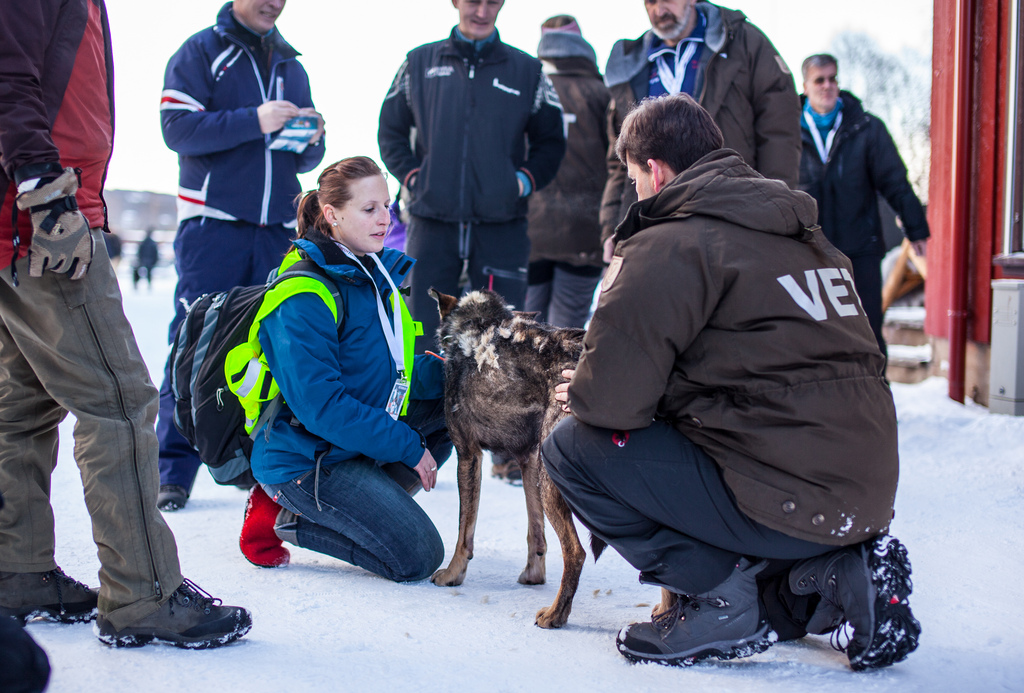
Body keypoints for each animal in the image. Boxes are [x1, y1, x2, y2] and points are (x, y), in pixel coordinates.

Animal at [428, 286, 593, 626]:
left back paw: (555, 615)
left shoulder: (468, 454)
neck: (479, 326)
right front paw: (533, 575)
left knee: (576, 552)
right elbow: (536, 533)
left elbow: (464, 533)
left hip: (551, 483)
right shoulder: (528, 460)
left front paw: (452, 574)